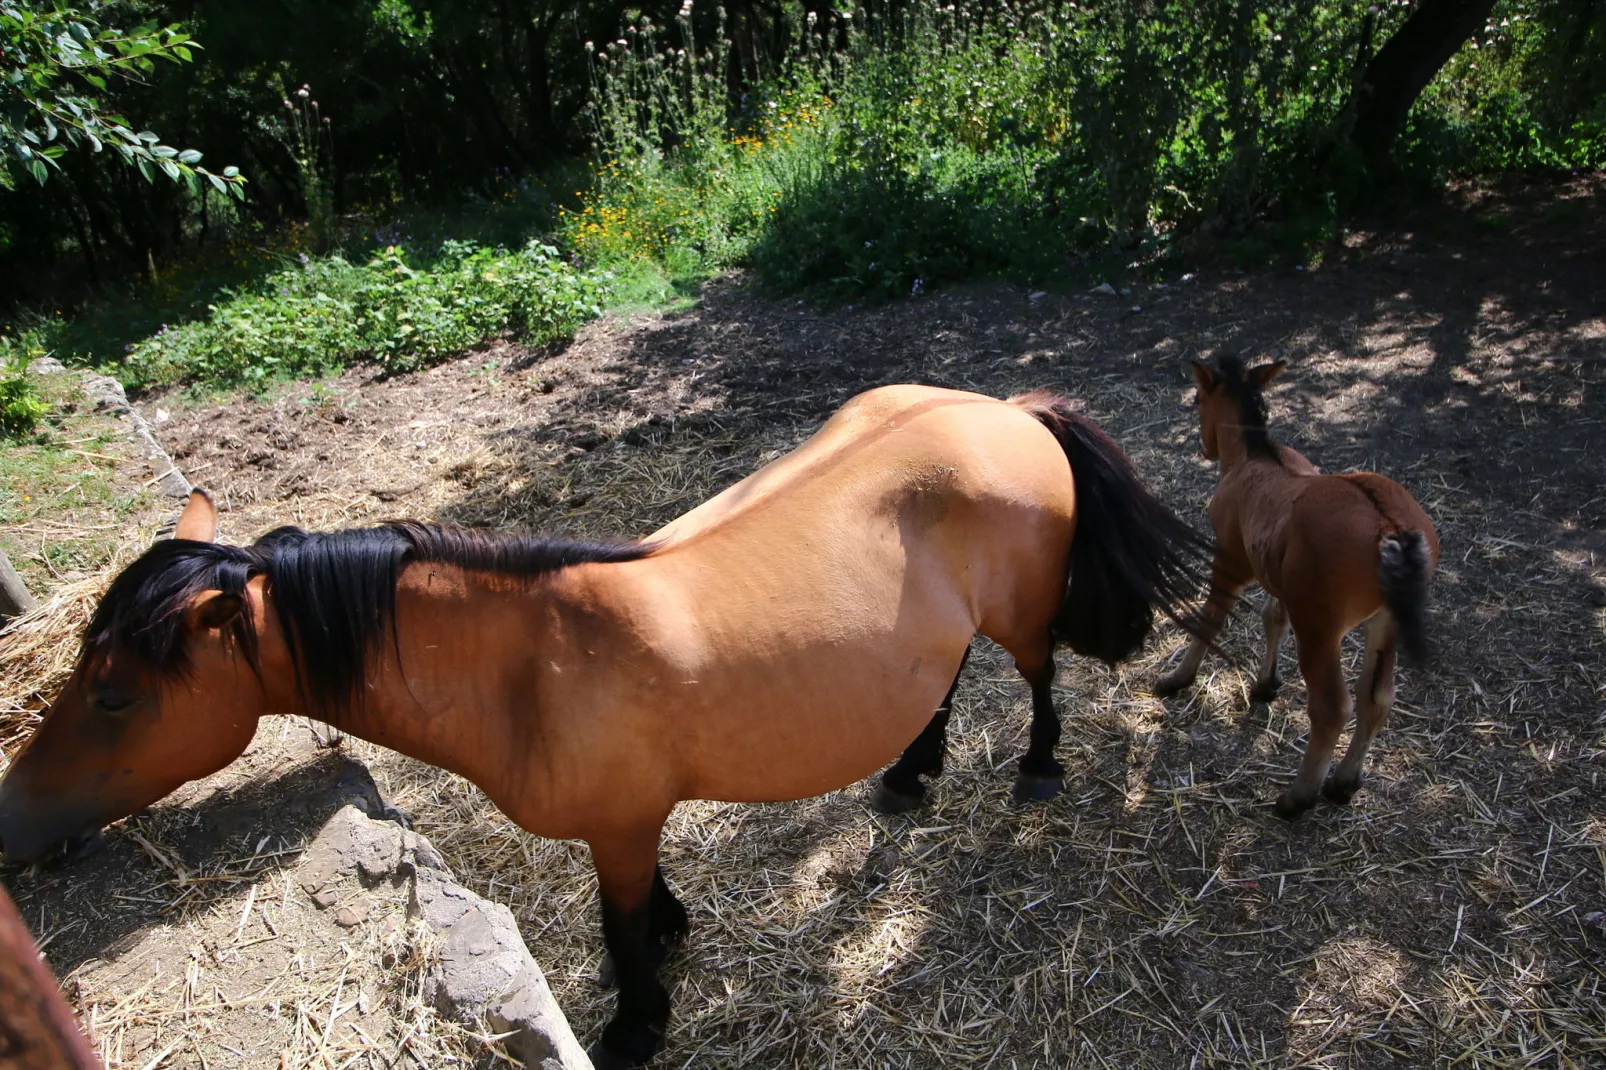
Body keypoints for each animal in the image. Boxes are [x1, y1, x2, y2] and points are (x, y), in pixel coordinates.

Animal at [0, 385, 1207, 1066]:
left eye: (114, 692)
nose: (12, 813)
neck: (531, 662)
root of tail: (1005, 409)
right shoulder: (632, 822)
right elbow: (646, 907)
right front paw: (673, 937)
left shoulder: (617, 827)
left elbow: (621, 930)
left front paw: (637, 1023)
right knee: (941, 678)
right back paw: (911, 770)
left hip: (1021, 610)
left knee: (1038, 674)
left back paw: (1037, 767)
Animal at [1162, 353, 1438, 812]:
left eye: (1197, 398)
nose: (1204, 446)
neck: (1256, 456)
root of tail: (1390, 526)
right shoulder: (1279, 577)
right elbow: (1273, 617)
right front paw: (1266, 684)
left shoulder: (1230, 559)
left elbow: (1210, 618)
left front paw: (1177, 679)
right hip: (1385, 622)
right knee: (1376, 698)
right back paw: (1343, 781)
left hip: (1320, 625)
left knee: (1332, 707)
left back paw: (1297, 798)